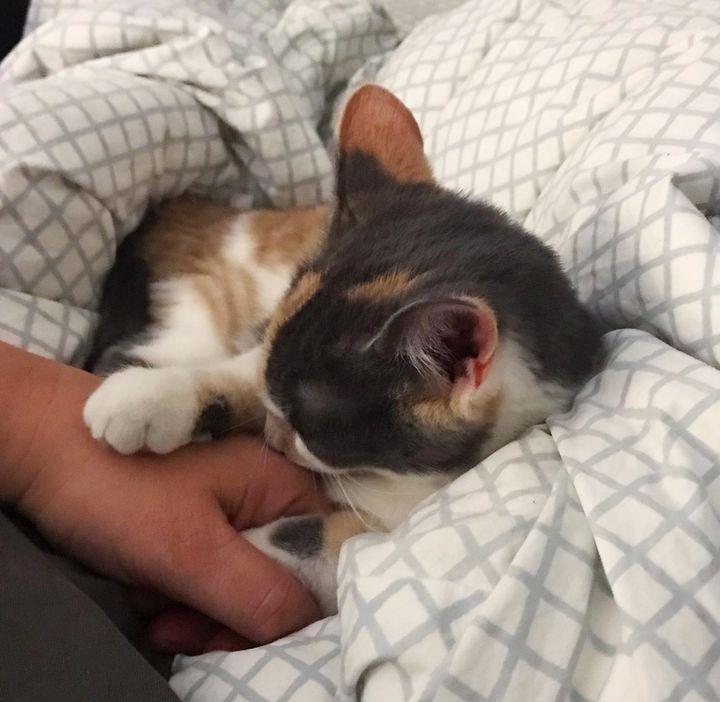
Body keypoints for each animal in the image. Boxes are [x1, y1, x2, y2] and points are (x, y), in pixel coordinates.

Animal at [83, 85, 600, 612]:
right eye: (283, 414)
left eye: (313, 431)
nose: (272, 437)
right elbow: (245, 369)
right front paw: (145, 399)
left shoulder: (396, 524)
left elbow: (323, 549)